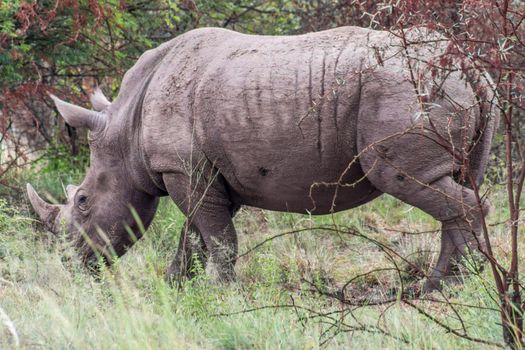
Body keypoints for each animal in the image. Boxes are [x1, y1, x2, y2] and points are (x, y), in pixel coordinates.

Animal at [27, 26, 496, 292]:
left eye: (83, 202)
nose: (73, 268)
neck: (125, 132)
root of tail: (472, 66)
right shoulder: (208, 172)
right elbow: (196, 234)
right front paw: (175, 287)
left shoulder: (182, 167)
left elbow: (215, 236)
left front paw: (223, 293)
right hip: (438, 86)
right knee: (456, 181)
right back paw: (452, 282)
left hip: (406, 90)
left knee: (406, 179)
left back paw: (440, 288)